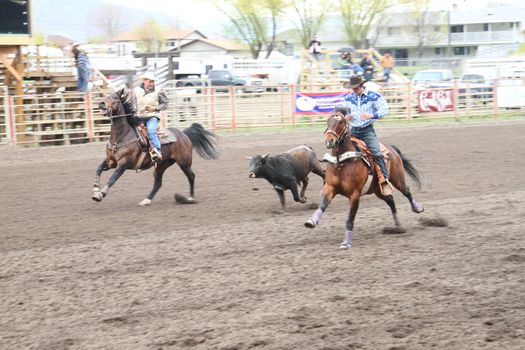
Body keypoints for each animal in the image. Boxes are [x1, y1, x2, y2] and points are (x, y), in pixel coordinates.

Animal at [304, 113, 424, 247]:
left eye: (341, 123)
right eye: (328, 121)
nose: (329, 141)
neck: (342, 162)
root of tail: (391, 149)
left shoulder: (355, 194)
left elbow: (350, 218)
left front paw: (346, 242)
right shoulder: (330, 187)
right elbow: (323, 204)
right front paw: (311, 221)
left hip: (397, 179)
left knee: (406, 191)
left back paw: (417, 208)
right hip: (378, 189)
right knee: (391, 200)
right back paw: (398, 225)